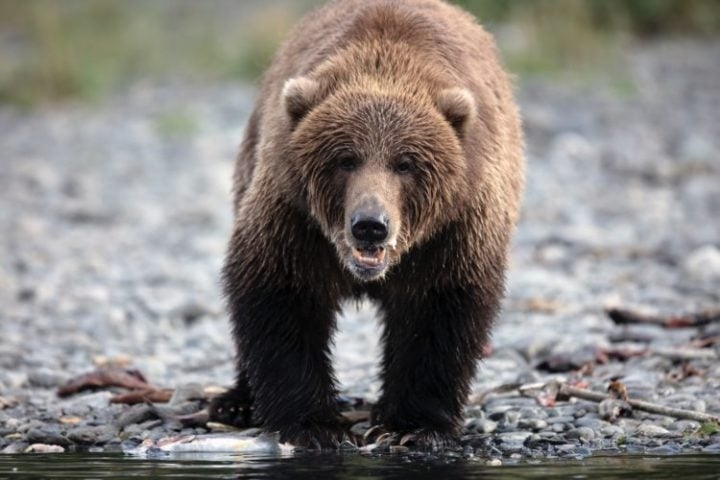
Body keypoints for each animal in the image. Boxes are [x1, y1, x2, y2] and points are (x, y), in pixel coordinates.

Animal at [208, 0, 524, 450]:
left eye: (405, 164)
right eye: (345, 159)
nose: (370, 225)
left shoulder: (453, 232)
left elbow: (439, 313)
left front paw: (412, 426)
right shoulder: (295, 220)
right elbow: (279, 296)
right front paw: (314, 424)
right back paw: (235, 402)